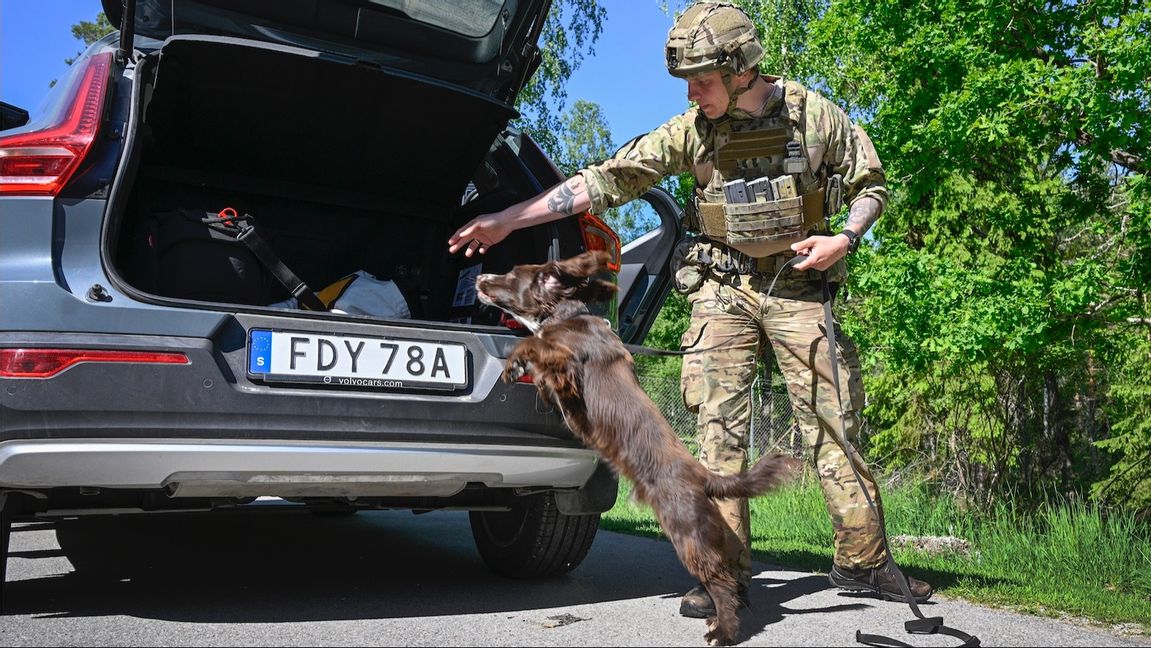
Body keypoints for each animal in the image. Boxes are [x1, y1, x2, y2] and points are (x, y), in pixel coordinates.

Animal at [476, 249, 801, 644]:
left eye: (511, 275)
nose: (480, 277)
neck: (566, 317)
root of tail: (703, 476)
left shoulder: (568, 366)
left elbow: (539, 346)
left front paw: (515, 362)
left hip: (687, 531)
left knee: (721, 581)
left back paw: (722, 630)